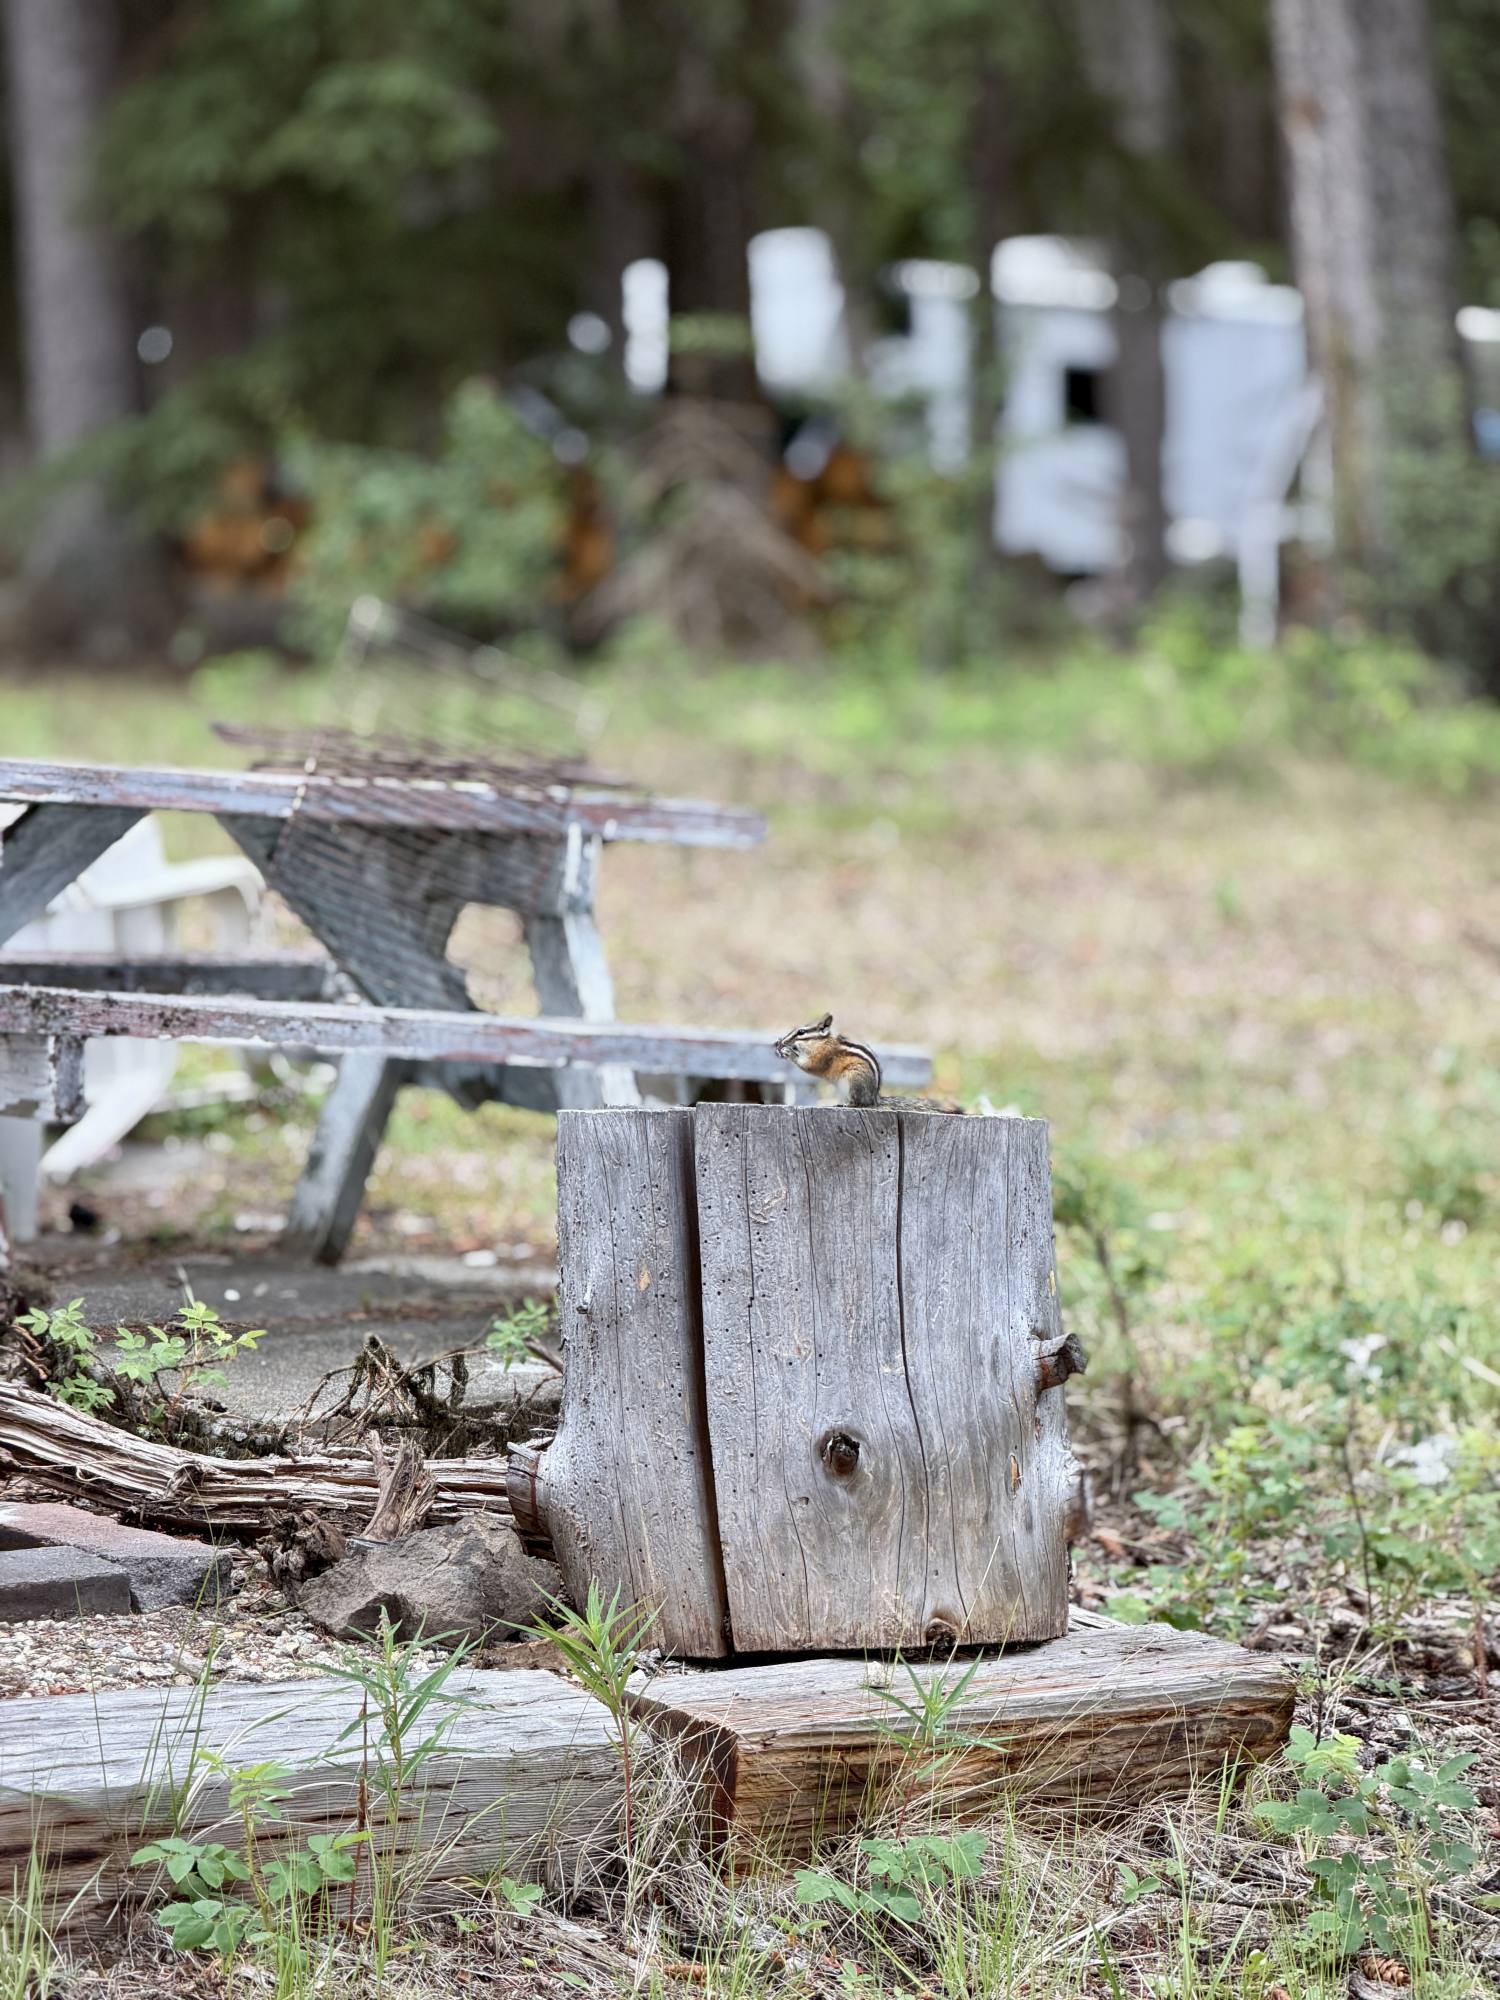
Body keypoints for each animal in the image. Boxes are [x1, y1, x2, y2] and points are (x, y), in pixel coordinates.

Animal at [773, 1013, 963, 1112]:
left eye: (801, 1032)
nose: (779, 1042)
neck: (821, 1041)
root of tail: (874, 1099)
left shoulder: (822, 1056)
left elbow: (810, 1065)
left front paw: (788, 1052)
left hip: (852, 1079)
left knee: (858, 1103)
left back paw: (846, 1104)